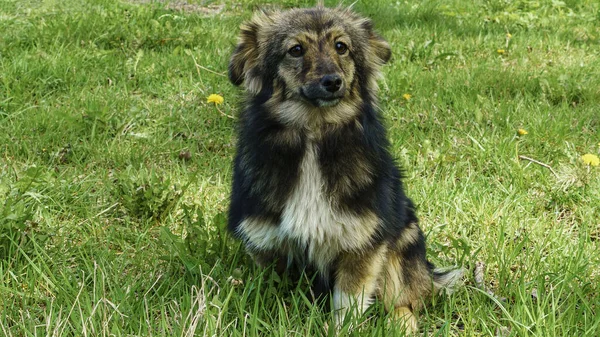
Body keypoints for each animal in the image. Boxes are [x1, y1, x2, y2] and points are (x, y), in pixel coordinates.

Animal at [227, 4, 462, 330]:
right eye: (295, 50)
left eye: (341, 47)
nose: (332, 81)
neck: (315, 132)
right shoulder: (267, 245)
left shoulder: (363, 243)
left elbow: (348, 304)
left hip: (403, 242)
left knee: (403, 302)